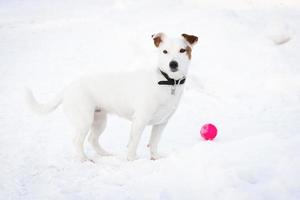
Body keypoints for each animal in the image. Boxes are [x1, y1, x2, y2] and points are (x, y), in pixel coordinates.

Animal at [26, 32, 199, 161]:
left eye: (182, 50)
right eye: (165, 51)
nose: (173, 64)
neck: (167, 81)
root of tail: (67, 88)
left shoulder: (161, 122)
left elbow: (154, 142)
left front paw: (155, 157)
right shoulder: (139, 120)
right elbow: (134, 142)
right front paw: (131, 159)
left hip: (99, 120)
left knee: (92, 140)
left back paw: (105, 154)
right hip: (84, 120)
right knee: (76, 141)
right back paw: (84, 159)